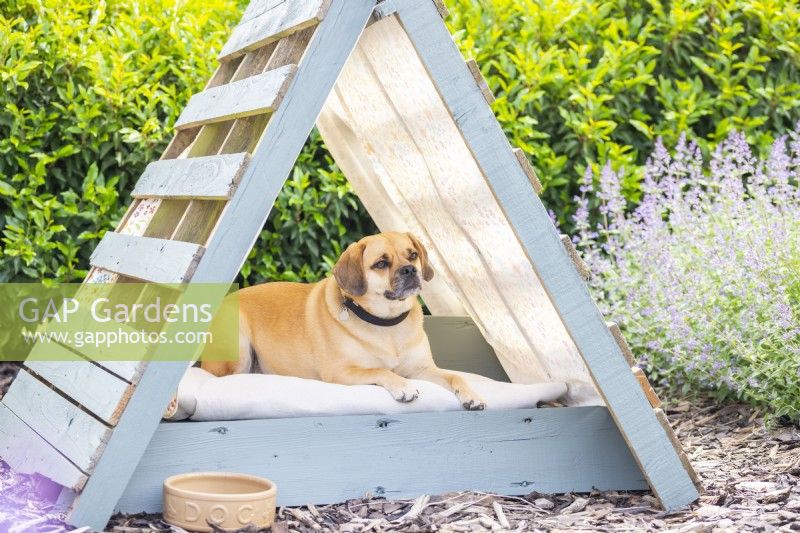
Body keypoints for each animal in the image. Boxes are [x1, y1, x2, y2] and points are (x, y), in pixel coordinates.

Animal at [200, 231, 488, 410]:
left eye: (412, 255)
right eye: (381, 263)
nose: (410, 270)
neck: (387, 323)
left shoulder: (422, 369)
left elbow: (455, 376)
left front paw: (472, 394)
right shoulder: (341, 372)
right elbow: (379, 370)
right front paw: (403, 386)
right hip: (238, 352)